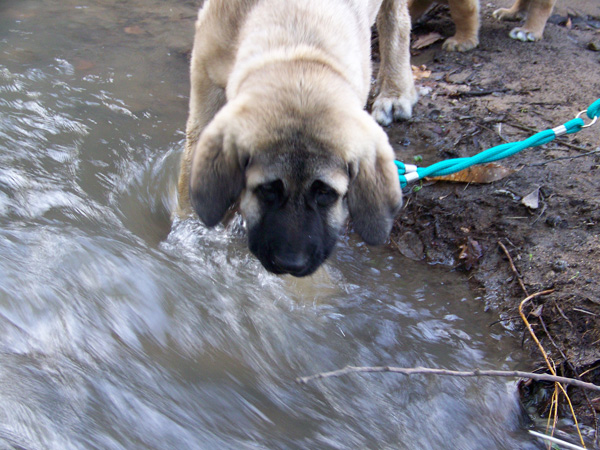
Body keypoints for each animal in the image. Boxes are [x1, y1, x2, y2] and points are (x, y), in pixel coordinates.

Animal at [178, 0, 418, 276]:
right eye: (267, 189)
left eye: (325, 193)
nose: (290, 264)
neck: (299, 48)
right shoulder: (205, 84)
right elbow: (188, 180)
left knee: (397, 19)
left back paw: (396, 90)